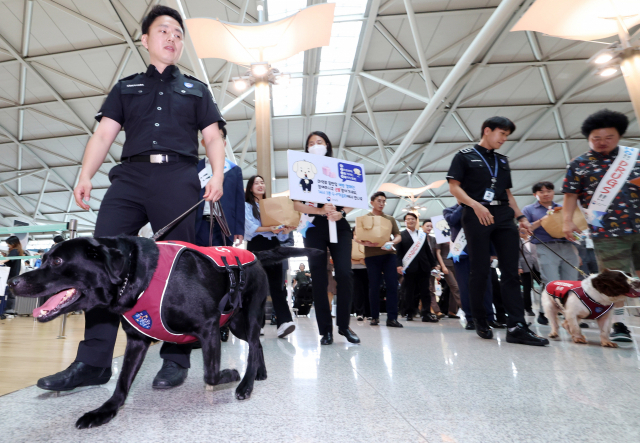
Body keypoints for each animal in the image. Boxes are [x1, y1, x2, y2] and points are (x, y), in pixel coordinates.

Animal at [8, 238, 318, 428]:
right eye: (44, 257)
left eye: (58, 262)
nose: (12, 282)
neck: (135, 274)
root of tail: (254, 254)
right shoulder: (136, 341)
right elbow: (122, 384)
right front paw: (105, 411)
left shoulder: (208, 327)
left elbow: (210, 375)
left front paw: (230, 374)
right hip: (235, 323)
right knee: (256, 346)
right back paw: (259, 373)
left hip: (248, 316)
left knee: (254, 344)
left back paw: (246, 384)